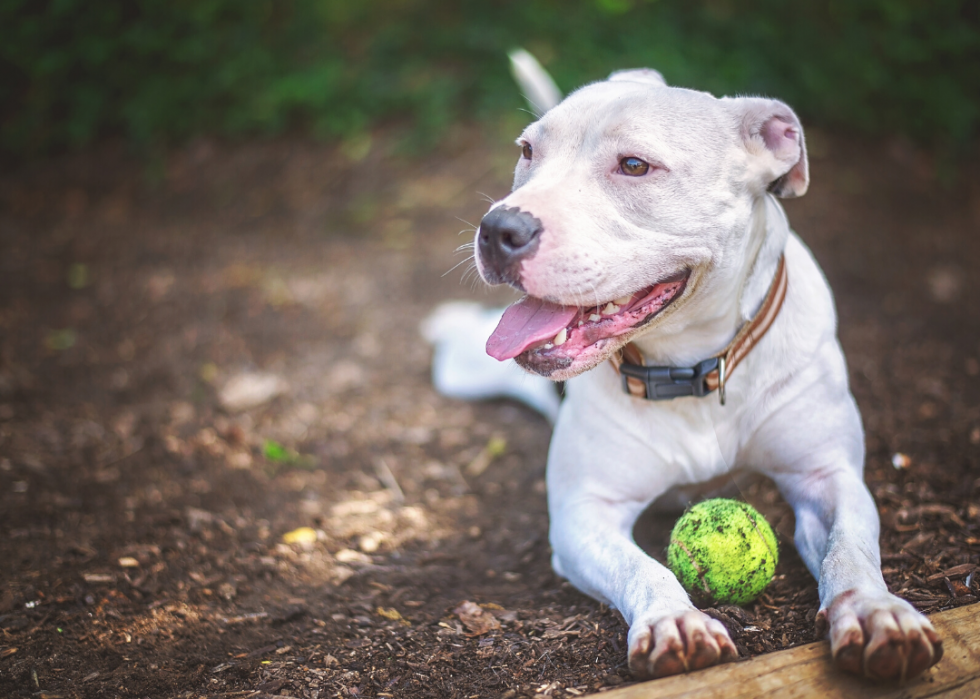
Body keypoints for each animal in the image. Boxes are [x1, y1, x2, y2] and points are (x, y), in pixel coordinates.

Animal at [430, 50, 940, 684]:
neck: (690, 370)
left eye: (634, 165)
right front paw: (676, 621)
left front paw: (875, 613)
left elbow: (850, 549)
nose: (500, 228)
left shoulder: (827, 477)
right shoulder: (584, 515)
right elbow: (644, 567)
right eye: (527, 151)